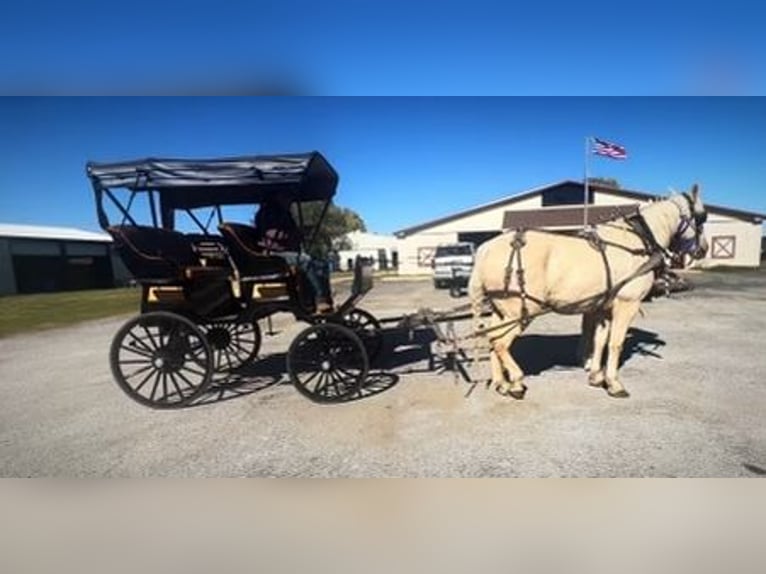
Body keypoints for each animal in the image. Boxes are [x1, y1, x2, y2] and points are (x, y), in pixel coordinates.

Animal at [472, 184, 712, 400]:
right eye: (701, 217)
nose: (704, 249)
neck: (639, 241)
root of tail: (486, 249)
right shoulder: (627, 304)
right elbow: (616, 343)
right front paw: (614, 383)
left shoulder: (603, 308)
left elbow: (600, 341)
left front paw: (596, 376)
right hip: (521, 311)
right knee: (500, 343)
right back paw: (516, 382)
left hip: (501, 310)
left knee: (492, 339)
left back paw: (501, 383)